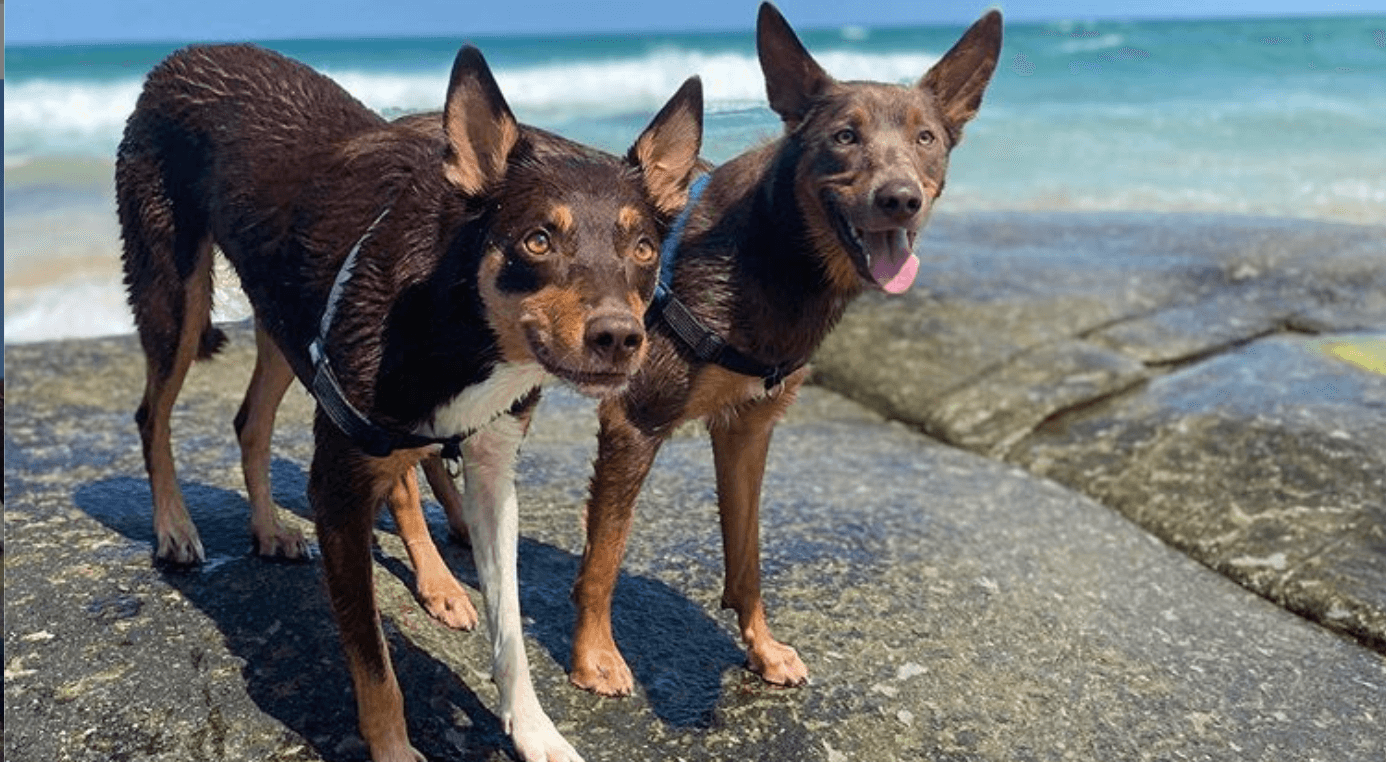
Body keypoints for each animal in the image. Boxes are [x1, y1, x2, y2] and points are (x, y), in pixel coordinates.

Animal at [117, 43, 698, 762]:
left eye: (643, 248)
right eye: (537, 240)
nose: (618, 337)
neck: (458, 320)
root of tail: (181, 57)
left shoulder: (490, 472)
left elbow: (510, 630)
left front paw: (536, 731)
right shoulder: (338, 487)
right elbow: (374, 663)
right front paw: (394, 747)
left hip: (287, 328)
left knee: (251, 420)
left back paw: (273, 529)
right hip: (175, 296)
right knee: (153, 413)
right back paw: (174, 527)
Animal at [557, 4, 1003, 698]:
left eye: (926, 138)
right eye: (844, 137)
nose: (900, 198)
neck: (776, 250)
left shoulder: (748, 428)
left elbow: (748, 558)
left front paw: (761, 648)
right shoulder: (635, 421)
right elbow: (604, 558)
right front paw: (594, 656)